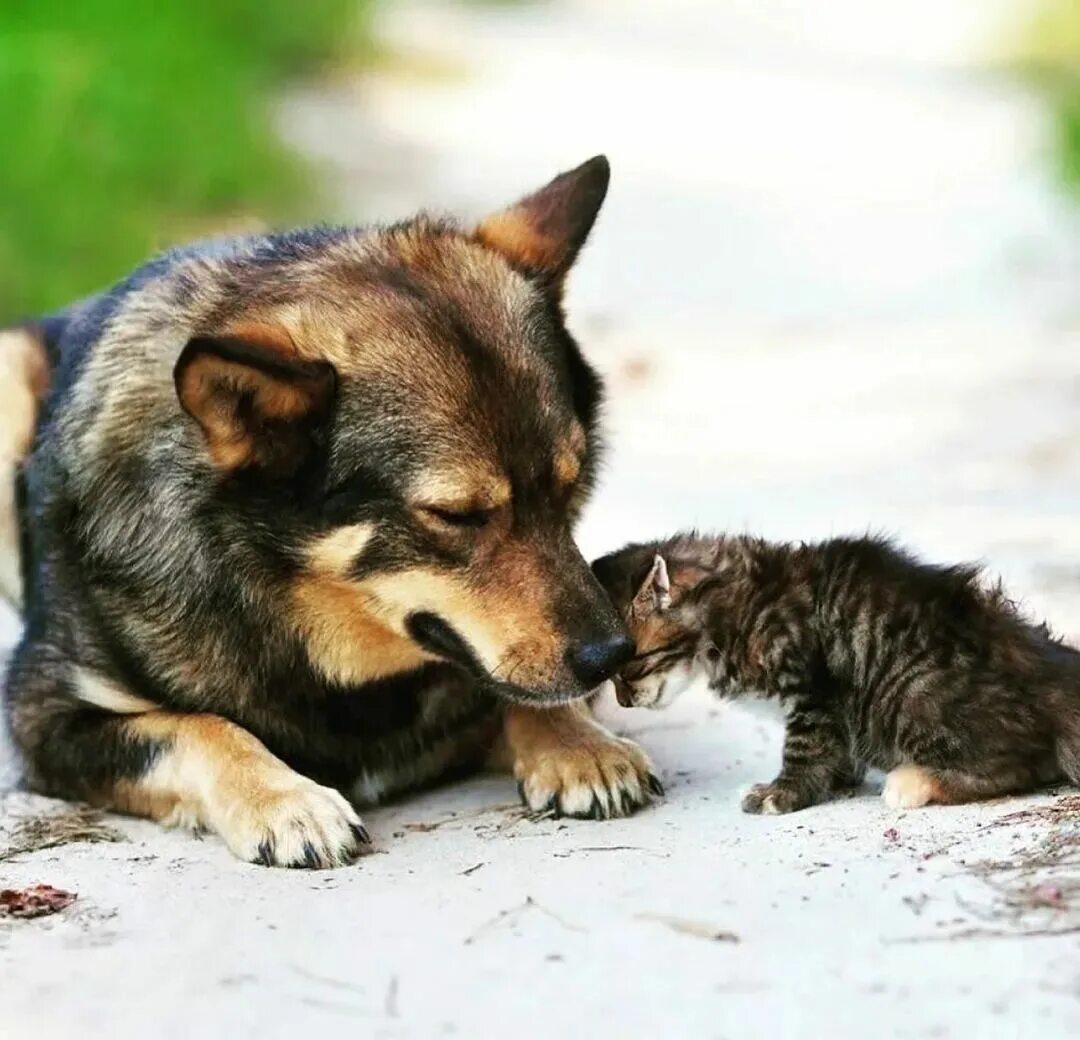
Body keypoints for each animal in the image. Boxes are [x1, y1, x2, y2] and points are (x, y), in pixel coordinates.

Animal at [0, 156, 660, 868]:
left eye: (571, 486)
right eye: (456, 515)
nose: (611, 656)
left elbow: (511, 689)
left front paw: (578, 745)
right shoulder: (45, 716)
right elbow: (196, 727)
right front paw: (283, 799)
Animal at [591, 537, 1080, 812]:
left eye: (630, 667)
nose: (625, 702)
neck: (736, 606)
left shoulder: (815, 688)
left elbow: (804, 749)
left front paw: (781, 795)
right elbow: (835, 750)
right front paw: (839, 780)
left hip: (909, 694)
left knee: (1022, 764)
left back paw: (913, 781)